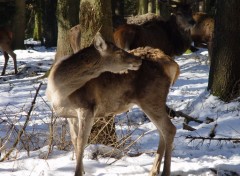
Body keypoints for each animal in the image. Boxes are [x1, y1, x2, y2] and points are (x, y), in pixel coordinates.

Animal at [46, 32, 180, 176]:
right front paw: (83, 171)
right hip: (152, 101)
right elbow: (75, 141)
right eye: (118, 51)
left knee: (169, 129)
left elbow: (82, 141)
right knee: (161, 130)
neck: (58, 91)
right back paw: (154, 171)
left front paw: (79, 172)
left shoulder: (87, 107)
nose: (138, 60)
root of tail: (173, 65)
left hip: (152, 97)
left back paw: (165, 172)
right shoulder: (71, 116)